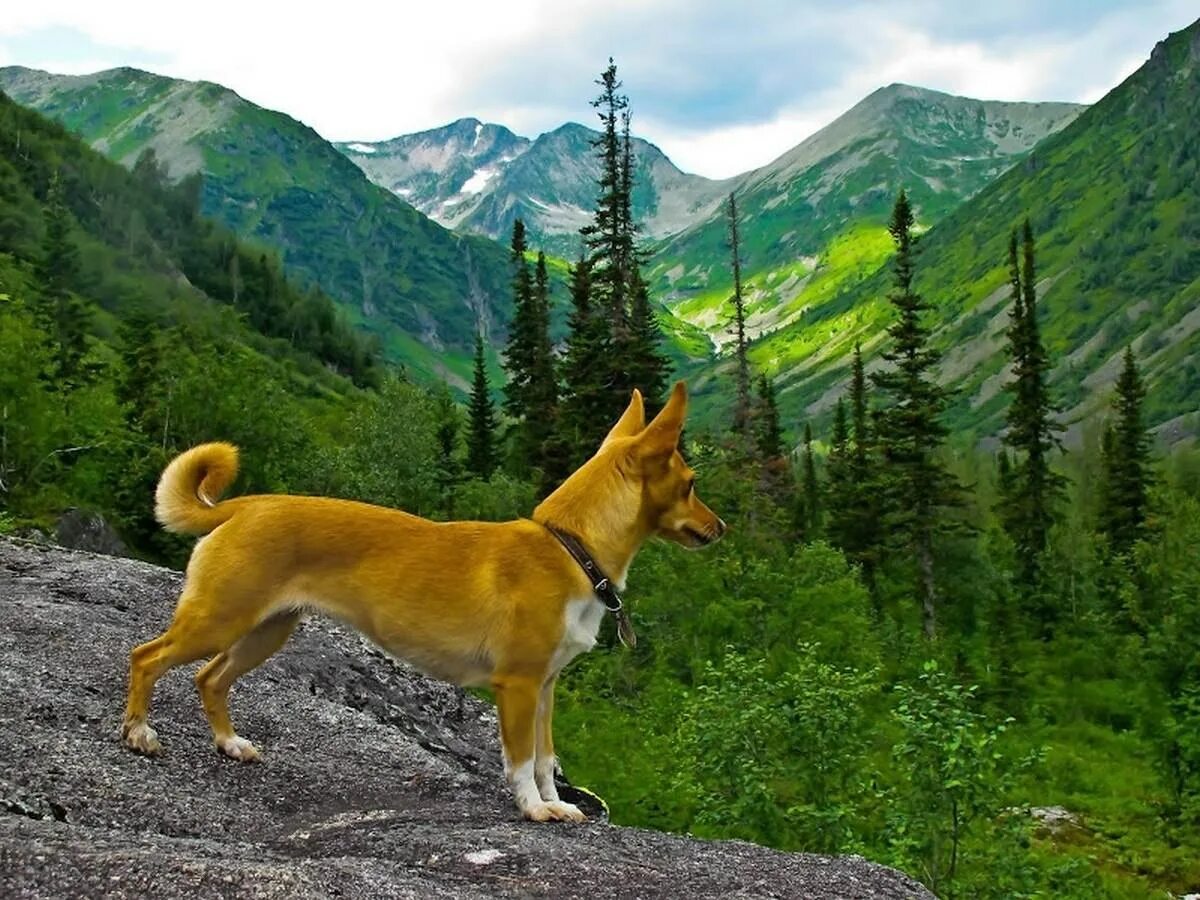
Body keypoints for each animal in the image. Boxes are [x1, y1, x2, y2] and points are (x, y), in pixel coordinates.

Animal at [121, 381, 724, 825]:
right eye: (692, 483)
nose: (721, 528)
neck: (571, 548)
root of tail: (244, 506)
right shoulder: (518, 686)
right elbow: (521, 759)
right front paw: (534, 809)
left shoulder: (547, 687)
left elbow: (547, 758)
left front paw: (556, 803)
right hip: (218, 620)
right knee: (146, 657)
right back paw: (139, 734)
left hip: (266, 631)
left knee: (210, 679)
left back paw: (230, 744)